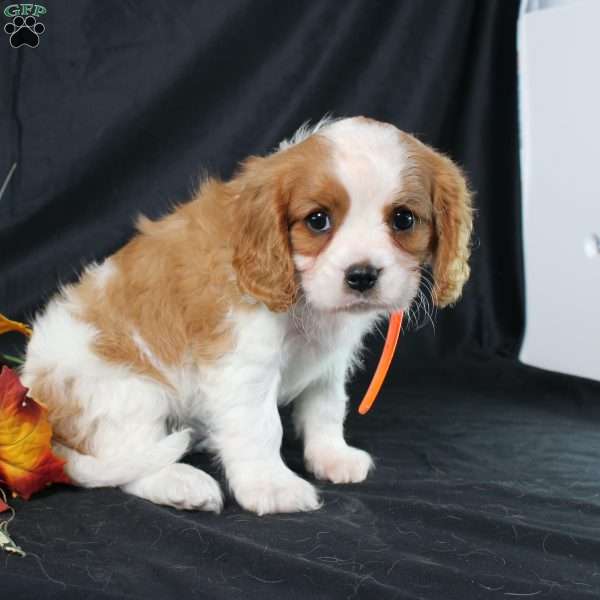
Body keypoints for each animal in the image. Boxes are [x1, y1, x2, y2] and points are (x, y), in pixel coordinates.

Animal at [21, 117, 474, 516]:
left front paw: (331, 456)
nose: (362, 275)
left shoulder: (330, 361)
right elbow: (261, 426)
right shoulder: (243, 363)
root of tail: (38, 397)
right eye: (317, 220)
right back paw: (181, 483)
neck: (303, 299)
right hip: (129, 392)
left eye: (404, 219)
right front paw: (271, 486)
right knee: (133, 462)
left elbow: (326, 407)